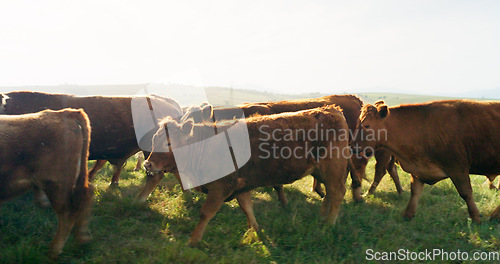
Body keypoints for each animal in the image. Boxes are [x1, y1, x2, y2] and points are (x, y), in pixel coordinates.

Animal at [0, 108, 93, 258]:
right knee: (86, 195)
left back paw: (53, 251)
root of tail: (65, 112)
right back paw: (82, 238)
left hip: (56, 185)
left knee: (68, 213)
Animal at [143, 104, 350, 244]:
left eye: (169, 143)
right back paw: (322, 218)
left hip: (333, 169)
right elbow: (247, 208)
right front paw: (256, 231)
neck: (207, 145)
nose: (147, 164)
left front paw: (193, 240)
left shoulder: (220, 187)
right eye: (154, 140)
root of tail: (332, 110)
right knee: (329, 195)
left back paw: (329, 224)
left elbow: (205, 213)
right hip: (321, 171)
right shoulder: (241, 186)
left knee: (337, 193)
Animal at [352, 100, 500, 222]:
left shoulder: (457, 168)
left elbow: (466, 192)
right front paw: (408, 214)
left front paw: (475, 217)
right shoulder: (418, 169)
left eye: (366, 125)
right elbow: (415, 191)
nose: (352, 146)